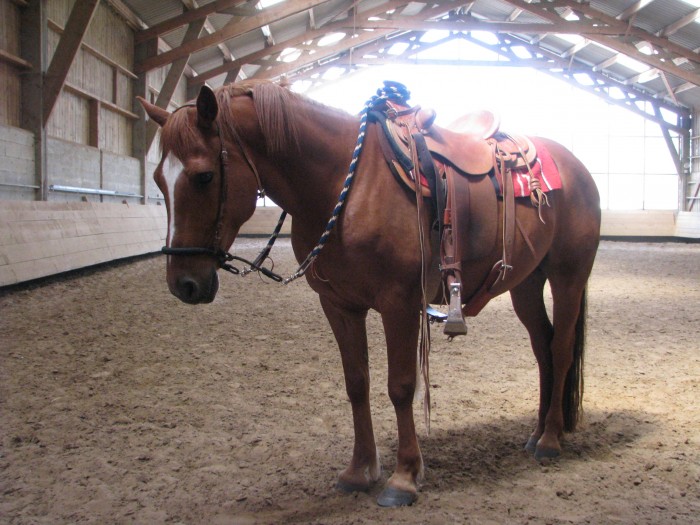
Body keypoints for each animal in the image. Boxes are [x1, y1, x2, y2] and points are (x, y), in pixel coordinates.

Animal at [138, 80, 600, 506]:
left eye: (204, 176)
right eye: (159, 179)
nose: (183, 283)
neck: (344, 185)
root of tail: (575, 166)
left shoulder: (400, 304)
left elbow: (400, 387)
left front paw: (404, 477)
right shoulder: (339, 305)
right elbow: (356, 383)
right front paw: (359, 470)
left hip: (568, 276)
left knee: (560, 349)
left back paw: (550, 440)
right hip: (526, 282)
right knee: (542, 348)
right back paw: (537, 431)